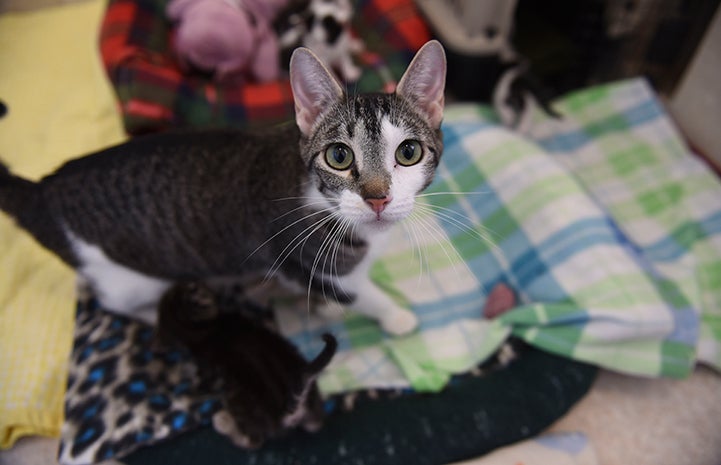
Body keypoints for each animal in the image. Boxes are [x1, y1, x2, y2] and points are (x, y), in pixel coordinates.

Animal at [0, 40, 448, 334]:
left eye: (408, 152)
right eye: (339, 156)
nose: (378, 198)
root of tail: (44, 191)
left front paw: (326, 308)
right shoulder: (307, 260)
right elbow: (359, 293)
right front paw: (393, 314)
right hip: (131, 277)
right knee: (115, 300)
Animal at [156, 280, 336, 448]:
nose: (181, 282)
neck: (204, 327)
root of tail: (289, 409)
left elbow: (200, 384)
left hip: (240, 404)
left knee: (252, 441)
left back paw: (222, 421)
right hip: (311, 399)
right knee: (316, 424)